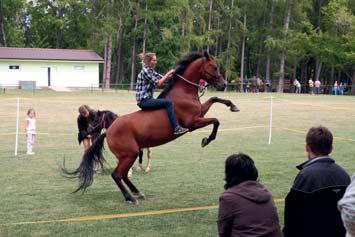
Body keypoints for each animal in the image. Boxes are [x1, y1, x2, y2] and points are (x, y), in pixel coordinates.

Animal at [65, 51, 241, 204]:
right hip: (129, 154)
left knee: (124, 175)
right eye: (214, 67)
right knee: (117, 175)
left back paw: (137, 193)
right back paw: (130, 197)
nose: (224, 84)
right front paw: (207, 139)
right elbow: (216, 121)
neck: (183, 92)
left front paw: (232, 105)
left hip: (130, 155)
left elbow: (214, 99)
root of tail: (109, 131)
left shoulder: (201, 112)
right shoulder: (193, 122)